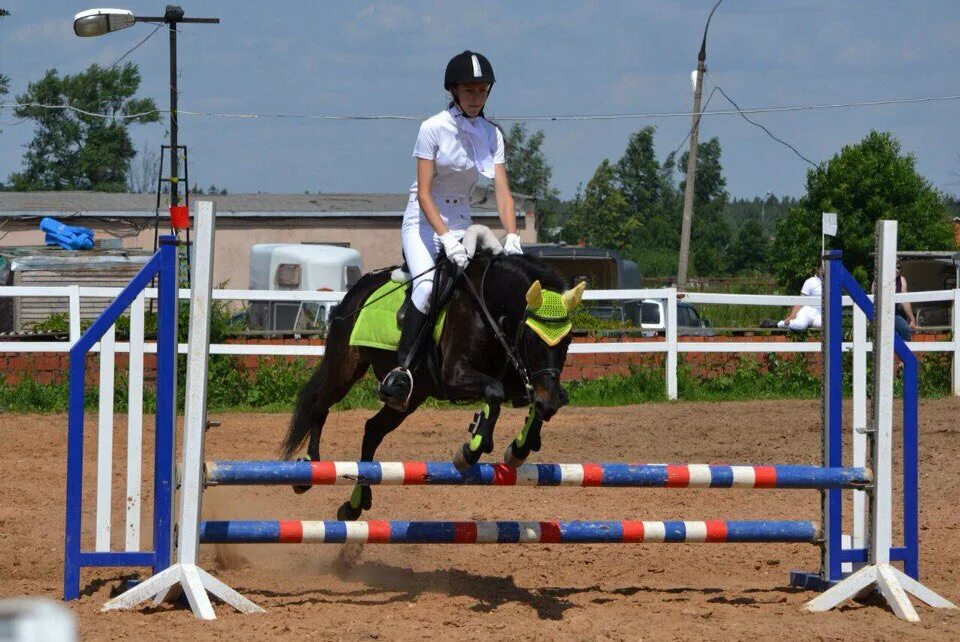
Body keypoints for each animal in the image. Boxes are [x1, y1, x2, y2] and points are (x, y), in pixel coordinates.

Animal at [282, 250, 580, 520]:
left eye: (568, 339)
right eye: (531, 338)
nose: (550, 400)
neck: (487, 307)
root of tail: (356, 291)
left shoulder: (522, 380)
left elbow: (531, 405)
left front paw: (519, 448)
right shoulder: (454, 376)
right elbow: (494, 392)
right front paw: (471, 450)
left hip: (411, 396)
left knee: (372, 430)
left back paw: (355, 503)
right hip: (345, 369)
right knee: (319, 408)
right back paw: (308, 472)